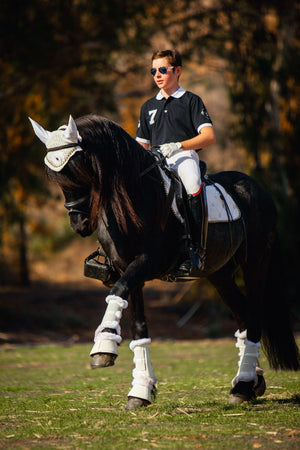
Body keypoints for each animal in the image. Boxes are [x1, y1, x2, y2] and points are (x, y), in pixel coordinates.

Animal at [29, 114, 298, 410]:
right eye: (54, 176)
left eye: (79, 168)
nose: (79, 224)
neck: (135, 198)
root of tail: (256, 188)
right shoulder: (127, 268)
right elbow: (138, 327)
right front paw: (140, 390)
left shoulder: (148, 262)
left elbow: (117, 291)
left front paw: (103, 345)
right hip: (219, 273)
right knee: (243, 314)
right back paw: (250, 382)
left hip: (255, 264)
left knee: (254, 315)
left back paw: (243, 384)